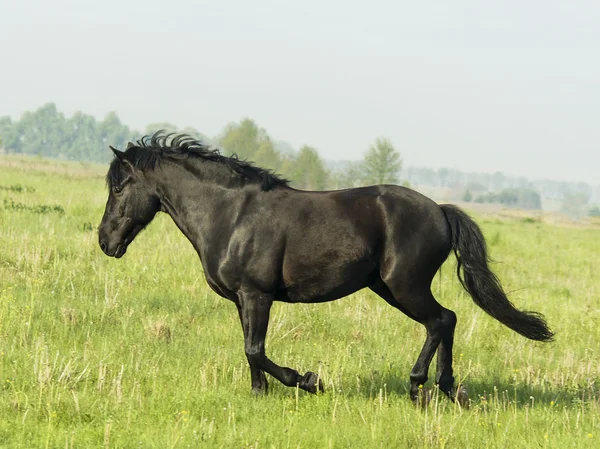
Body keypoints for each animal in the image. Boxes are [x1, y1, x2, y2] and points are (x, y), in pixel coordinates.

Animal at [98, 132, 552, 402]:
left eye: (119, 187)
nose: (105, 241)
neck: (231, 215)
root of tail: (440, 210)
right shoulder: (242, 300)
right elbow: (250, 350)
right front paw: (259, 395)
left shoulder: (258, 295)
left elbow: (256, 349)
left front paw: (308, 380)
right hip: (389, 288)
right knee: (446, 320)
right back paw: (446, 387)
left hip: (404, 285)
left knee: (442, 320)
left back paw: (419, 384)